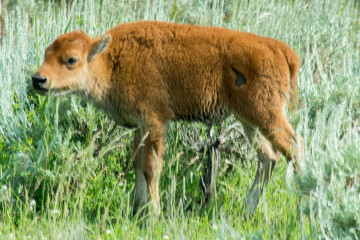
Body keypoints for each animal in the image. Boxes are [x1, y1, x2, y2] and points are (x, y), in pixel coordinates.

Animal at [31, 20, 300, 216]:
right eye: (46, 53)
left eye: (71, 59)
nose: (38, 79)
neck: (111, 60)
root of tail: (279, 49)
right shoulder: (140, 127)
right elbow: (137, 163)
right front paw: (137, 211)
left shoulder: (155, 122)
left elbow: (152, 168)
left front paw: (154, 215)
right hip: (249, 120)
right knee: (268, 157)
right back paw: (247, 211)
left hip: (267, 115)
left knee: (294, 147)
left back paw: (302, 210)